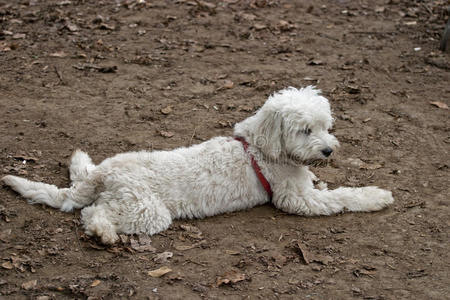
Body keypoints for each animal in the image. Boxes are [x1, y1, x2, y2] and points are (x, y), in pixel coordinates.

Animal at [1, 86, 394, 244]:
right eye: (304, 130)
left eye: (326, 126)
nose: (328, 151)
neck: (263, 148)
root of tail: (104, 173)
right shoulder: (296, 200)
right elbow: (342, 197)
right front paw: (376, 196)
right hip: (146, 210)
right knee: (90, 213)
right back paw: (104, 234)